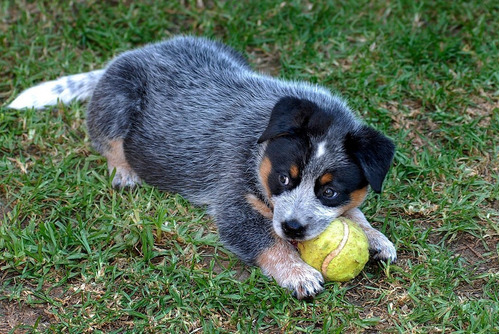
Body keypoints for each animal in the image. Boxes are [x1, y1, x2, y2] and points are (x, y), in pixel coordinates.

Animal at [7, 36, 396, 300]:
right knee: (107, 137)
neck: (259, 146)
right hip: (121, 93)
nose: (293, 227)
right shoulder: (233, 198)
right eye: (284, 177)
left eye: (329, 191)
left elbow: (354, 211)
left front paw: (374, 237)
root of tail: (131, 55)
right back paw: (124, 172)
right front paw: (298, 273)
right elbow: (265, 241)